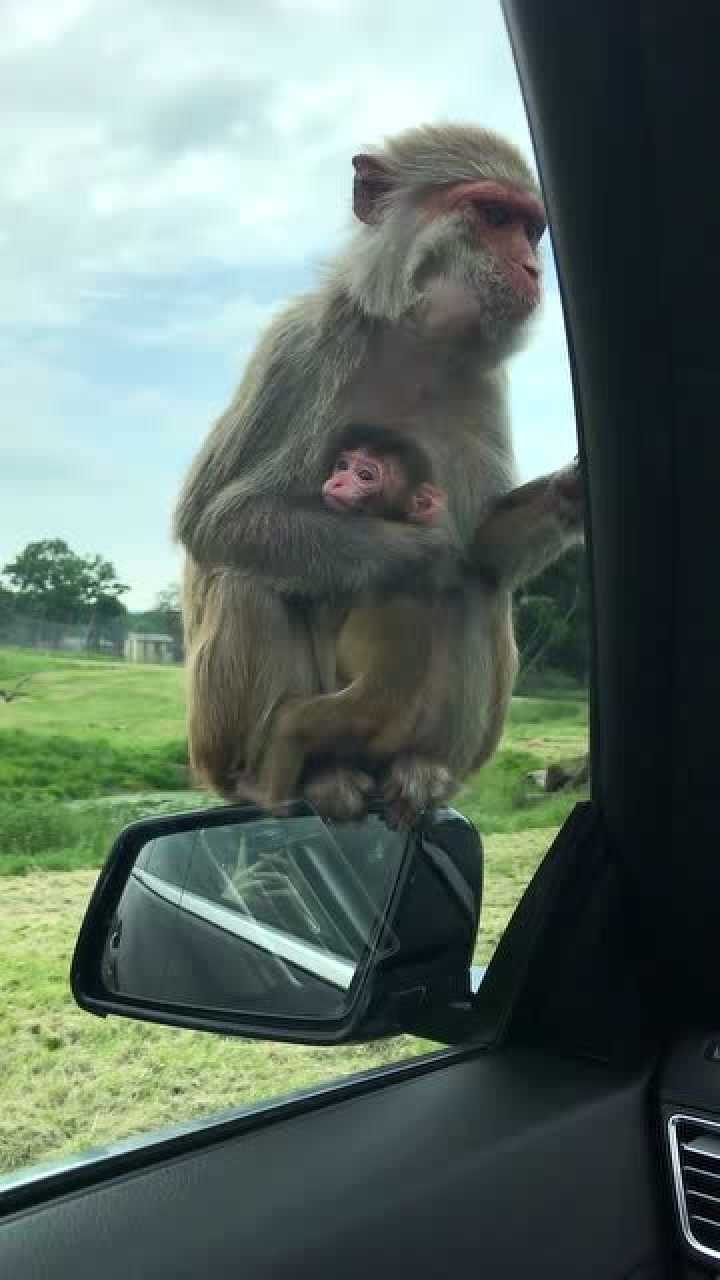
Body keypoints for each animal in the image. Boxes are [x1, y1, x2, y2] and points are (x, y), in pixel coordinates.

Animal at [175, 124, 584, 824]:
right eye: (493, 216)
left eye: (531, 229)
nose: (533, 270)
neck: (415, 339)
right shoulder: (301, 348)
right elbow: (216, 519)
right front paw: (428, 550)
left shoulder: (483, 382)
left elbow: (487, 548)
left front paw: (572, 491)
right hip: (236, 739)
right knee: (244, 579)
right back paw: (296, 780)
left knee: (480, 589)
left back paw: (420, 770)